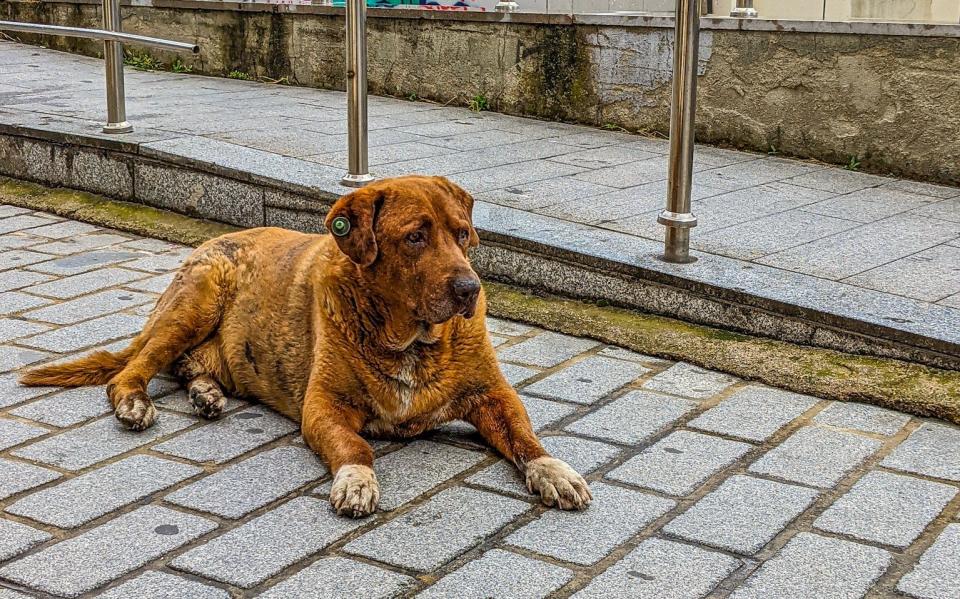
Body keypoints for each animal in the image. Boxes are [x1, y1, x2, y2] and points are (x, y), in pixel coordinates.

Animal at [18, 176, 592, 516]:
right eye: (415, 237)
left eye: (463, 234)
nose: (469, 289)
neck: (410, 339)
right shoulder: (323, 407)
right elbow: (356, 447)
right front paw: (357, 480)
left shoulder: (492, 394)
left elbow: (524, 435)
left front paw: (553, 469)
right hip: (198, 297)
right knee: (132, 370)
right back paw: (136, 401)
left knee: (185, 367)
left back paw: (206, 393)